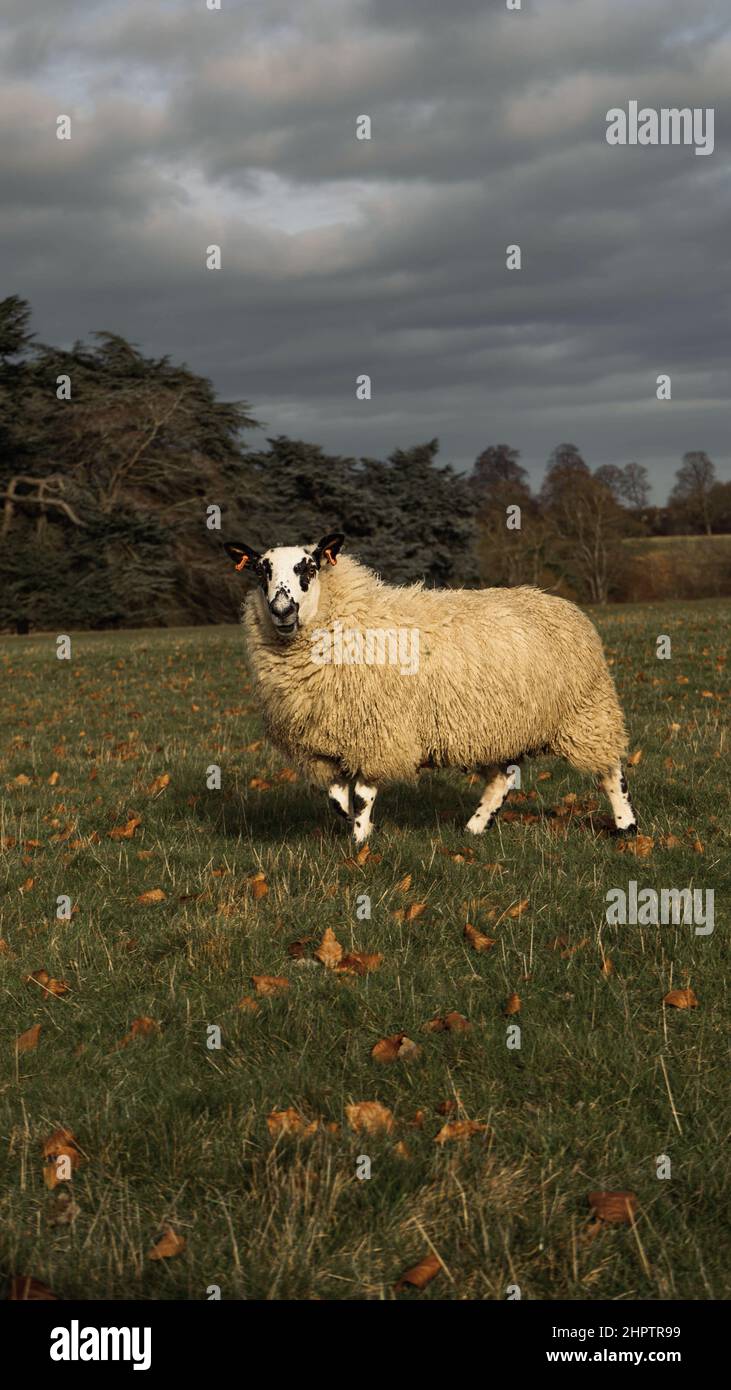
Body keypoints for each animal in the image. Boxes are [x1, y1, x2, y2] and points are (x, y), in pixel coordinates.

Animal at [224, 533, 637, 844]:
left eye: (308, 567)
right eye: (261, 570)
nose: (282, 610)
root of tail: (560, 603)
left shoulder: (380, 732)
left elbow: (363, 792)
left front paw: (360, 838)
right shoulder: (324, 742)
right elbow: (337, 796)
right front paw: (351, 822)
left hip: (585, 713)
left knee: (610, 769)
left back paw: (626, 825)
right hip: (502, 726)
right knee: (502, 779)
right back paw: (475, 827)